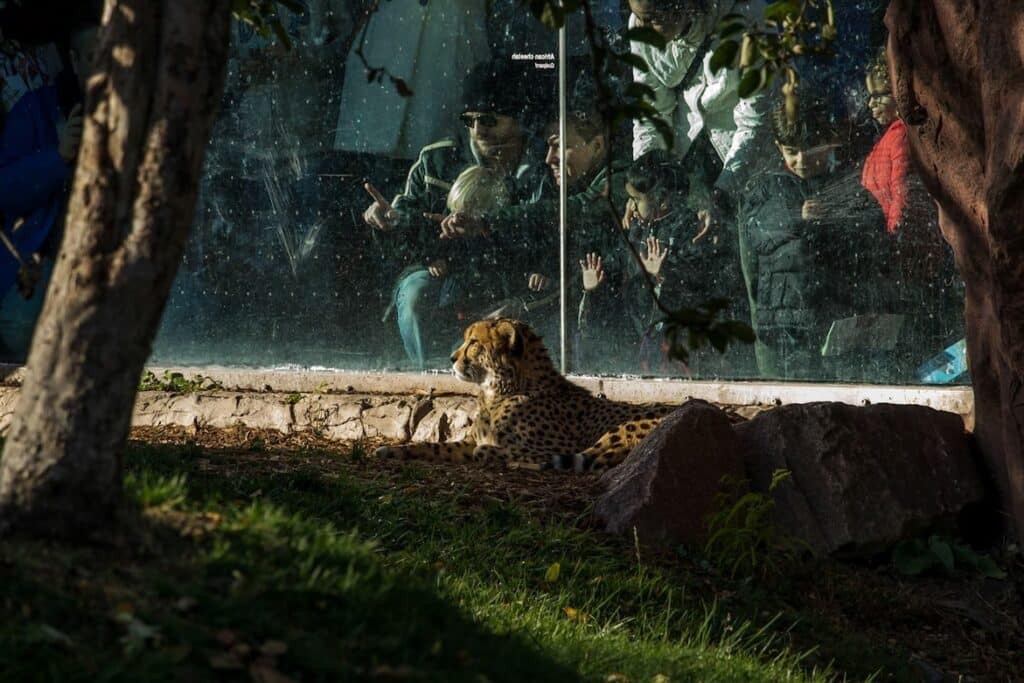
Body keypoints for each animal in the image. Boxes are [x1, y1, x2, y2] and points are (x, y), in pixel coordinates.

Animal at [375, 318, 675, 471]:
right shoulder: (467, 442)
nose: (451, 358)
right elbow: (434, 447)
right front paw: (393, 450)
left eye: (474, 342)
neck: (501, 390)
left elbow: (492, 450)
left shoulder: (556, 446)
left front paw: (502, 456)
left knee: (588, 462)